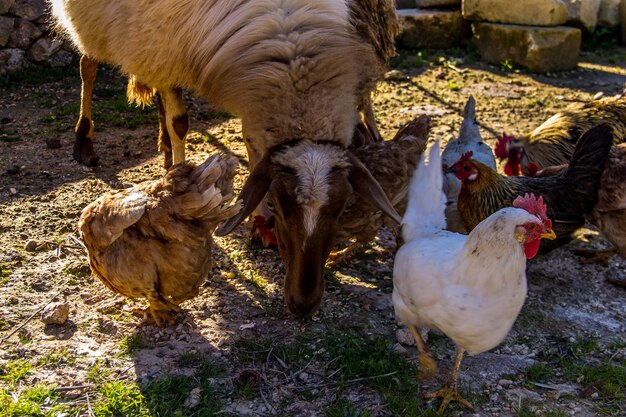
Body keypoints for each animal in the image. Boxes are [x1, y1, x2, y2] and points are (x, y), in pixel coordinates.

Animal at [51, 0, 398, 316]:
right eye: (279, 207)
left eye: (341, 209)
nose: (303, 305)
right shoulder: (163, 47)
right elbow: (181, 123)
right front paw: (177, 181)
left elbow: (247, 137)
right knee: (87, 63)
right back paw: (84, 141)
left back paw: (163, 147)